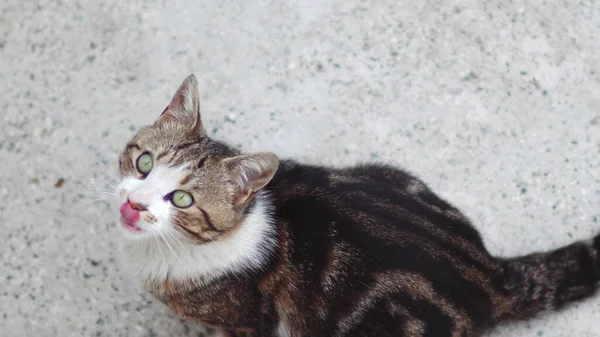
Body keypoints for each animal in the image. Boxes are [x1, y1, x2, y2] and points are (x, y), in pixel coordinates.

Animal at [116, 74, 600, 336]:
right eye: (144, 163)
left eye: (182, 199)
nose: (133, 203)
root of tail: (490, 272)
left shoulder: (248, 322)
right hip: (392, 172)